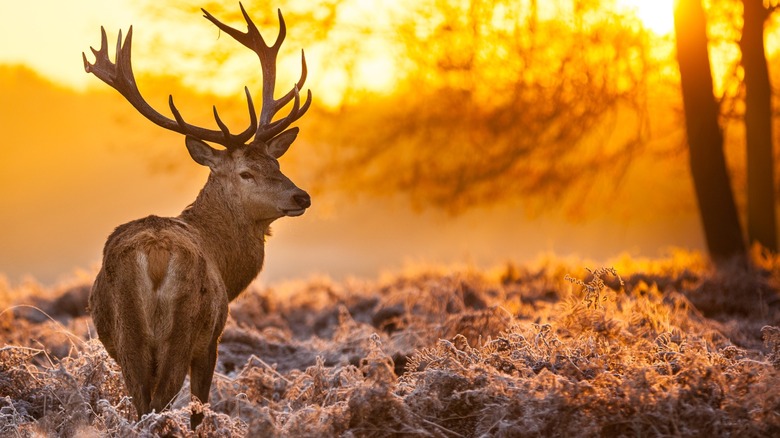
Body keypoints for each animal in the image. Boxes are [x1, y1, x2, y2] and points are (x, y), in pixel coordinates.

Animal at [83, 3, 311, 429]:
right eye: (246, 173)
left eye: (276, 163)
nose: (301, 196)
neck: (225, 261)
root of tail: (155, 255)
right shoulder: (212, 339)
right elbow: (199, 411)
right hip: (183, 330)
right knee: (159, 404)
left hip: (127, 337)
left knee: (141, 403)